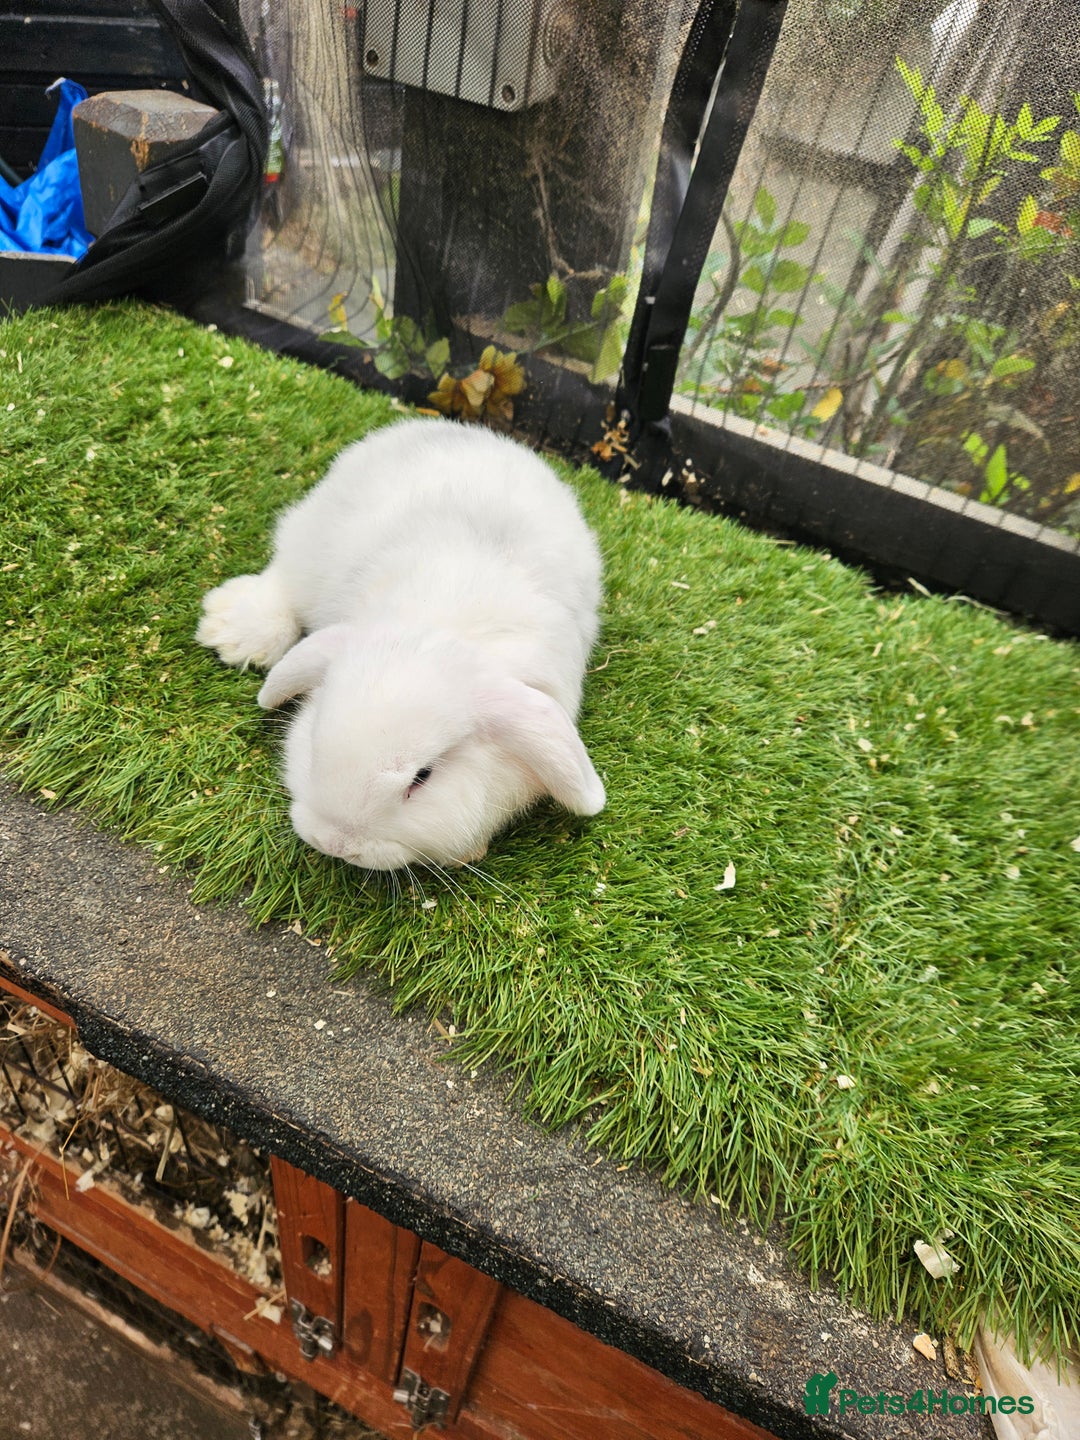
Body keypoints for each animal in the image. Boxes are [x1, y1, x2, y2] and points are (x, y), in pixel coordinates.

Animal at [196, 417, 605, 872]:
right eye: (314, 741)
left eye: (422, 778)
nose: (335, 843)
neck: (441, 630)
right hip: (310, 540)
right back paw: (234, 633)